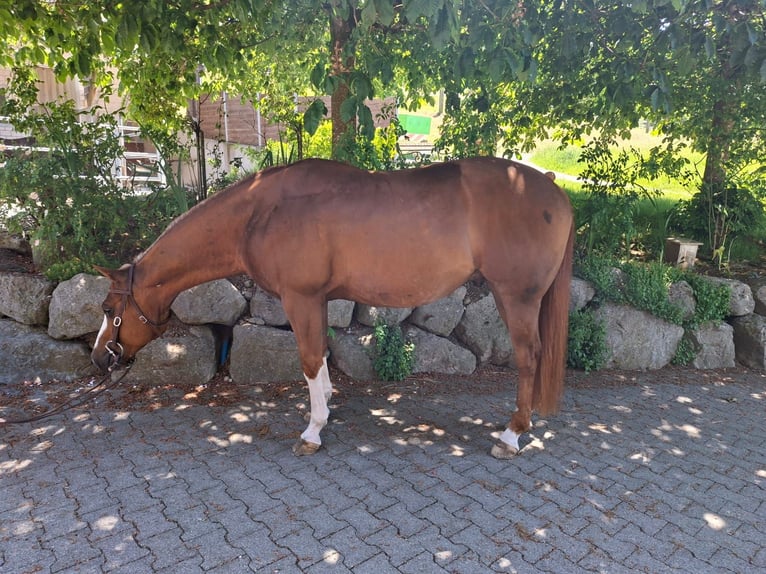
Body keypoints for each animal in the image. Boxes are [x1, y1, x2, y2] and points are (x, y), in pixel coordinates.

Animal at [91, 157, 574, 459]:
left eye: (108, 306)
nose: (99, 357)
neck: (259, 212)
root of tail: (553, 188)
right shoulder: (318, 299)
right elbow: (321, 354)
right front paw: (326, 405)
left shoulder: (300, 297)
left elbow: (307, 358)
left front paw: (312, 431)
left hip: (516, 296)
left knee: (529, 358)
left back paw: (511, 435)